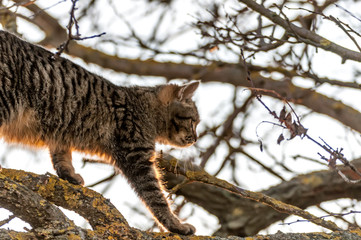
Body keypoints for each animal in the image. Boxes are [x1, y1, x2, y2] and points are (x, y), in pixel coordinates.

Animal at [0, 29, 200, 234]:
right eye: (193, 122)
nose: (195, 138)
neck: (143, 107)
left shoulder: (60, 133)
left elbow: (61, 156)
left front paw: (69, 175)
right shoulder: (136, 157)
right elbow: (156, 197)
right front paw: (175, 225)